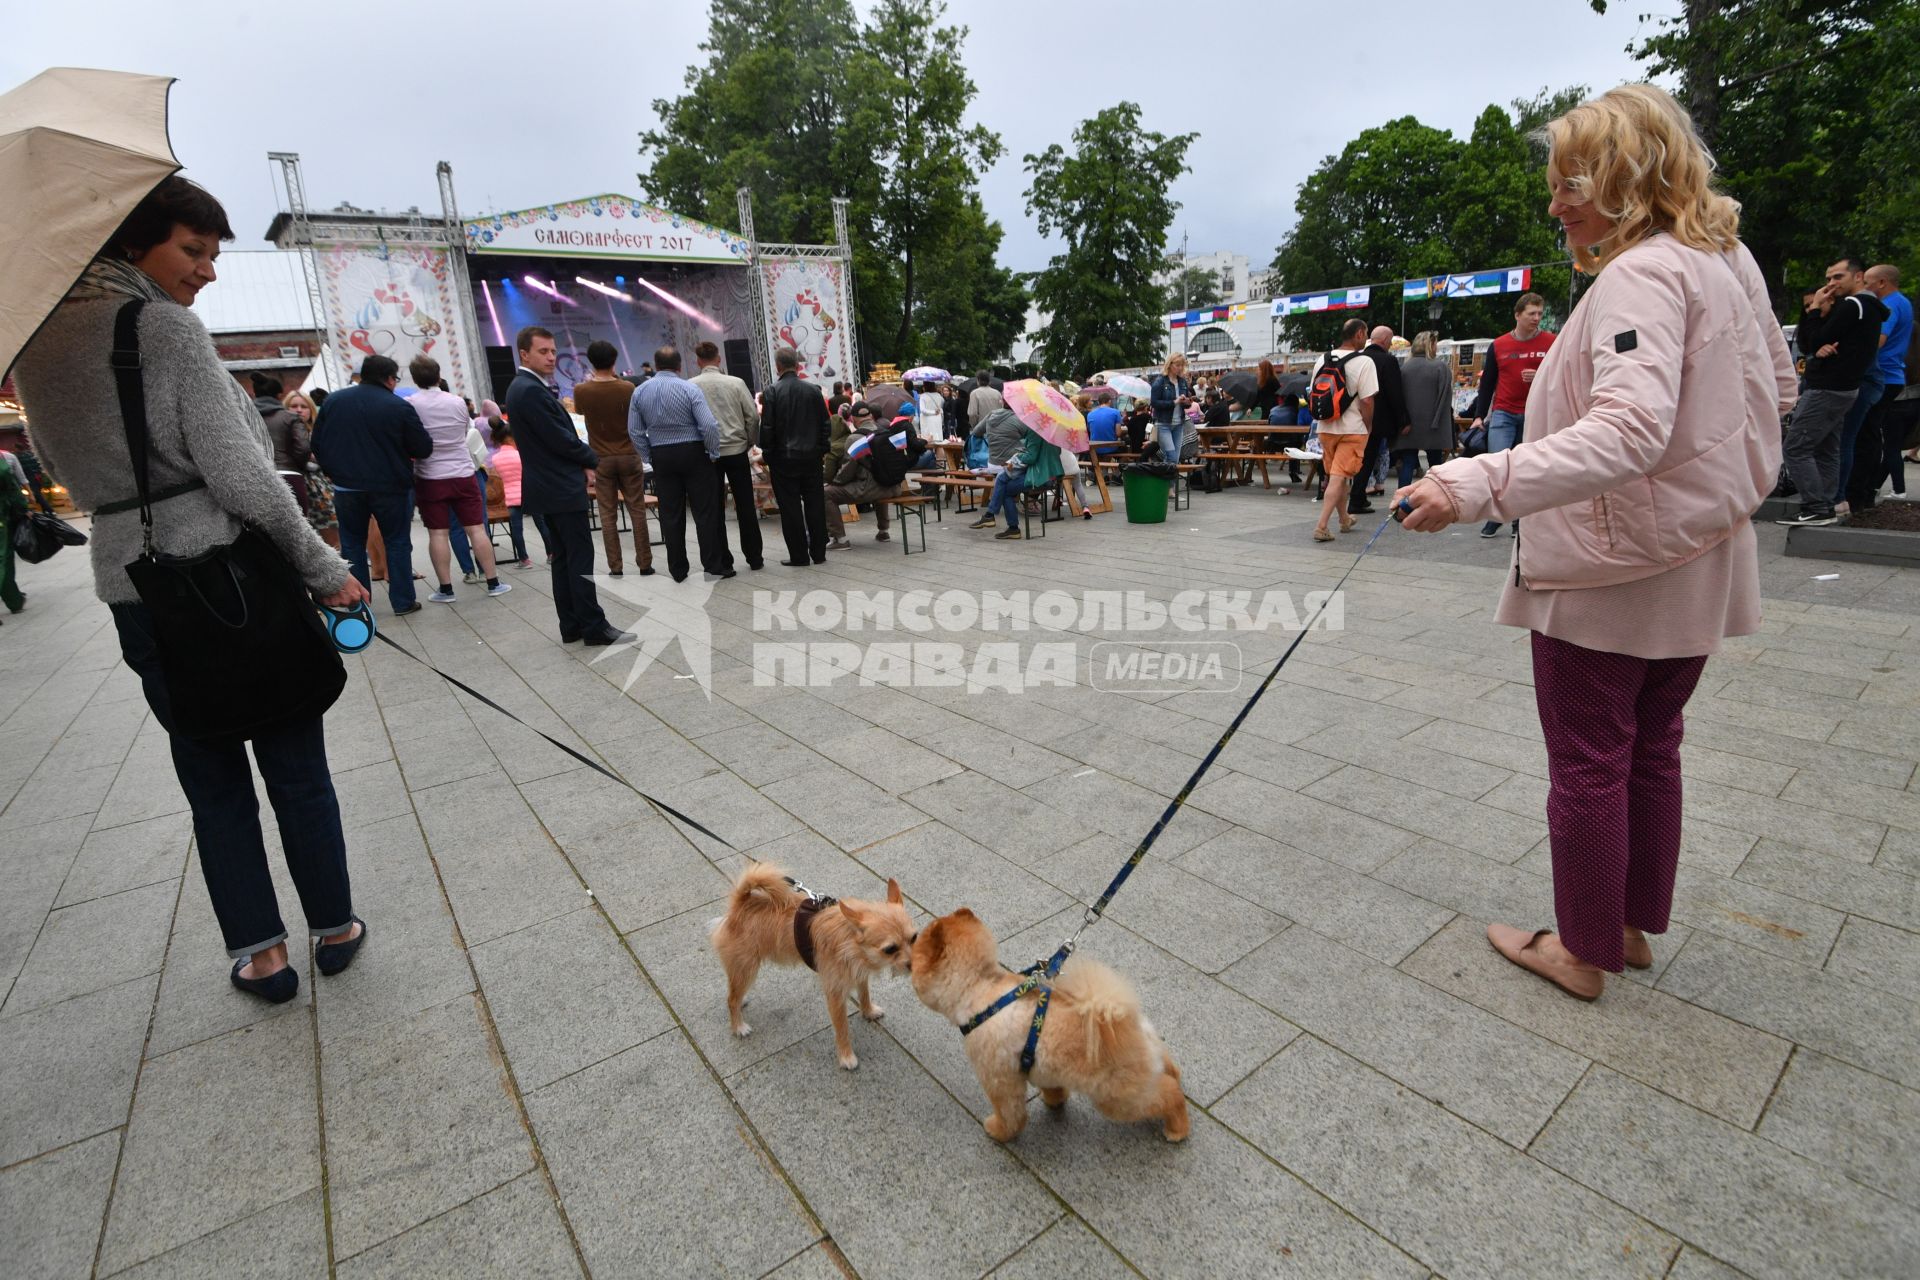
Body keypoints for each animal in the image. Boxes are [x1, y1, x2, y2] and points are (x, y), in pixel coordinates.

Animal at [714, 859, 913, 1074]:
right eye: (890, 949)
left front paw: (868, 1011)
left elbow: (864, 994)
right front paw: (846, 1057)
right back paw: (738, 1027)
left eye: (914, 938)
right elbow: (842, 1028)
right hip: (746, 968)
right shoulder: (835, 994)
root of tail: (741, 904)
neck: (850, 941)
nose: (914, 965)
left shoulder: (859, 974)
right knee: (731, 999)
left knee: (734, 991)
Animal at [910, 909, 1190, 1143]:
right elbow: (1052, 1087)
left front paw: (998, 1131)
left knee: (1168, 1095)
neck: (981, 990)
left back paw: (1177, 1129)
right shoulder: (1042, 1067)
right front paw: (1055, 1101)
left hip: (1117, 1096)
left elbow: (1010, 1114)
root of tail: (1127, 1022)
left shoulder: (998, 1078)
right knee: (1170, 1072)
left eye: (915, 951)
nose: (907, 963)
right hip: (1145, 1063)